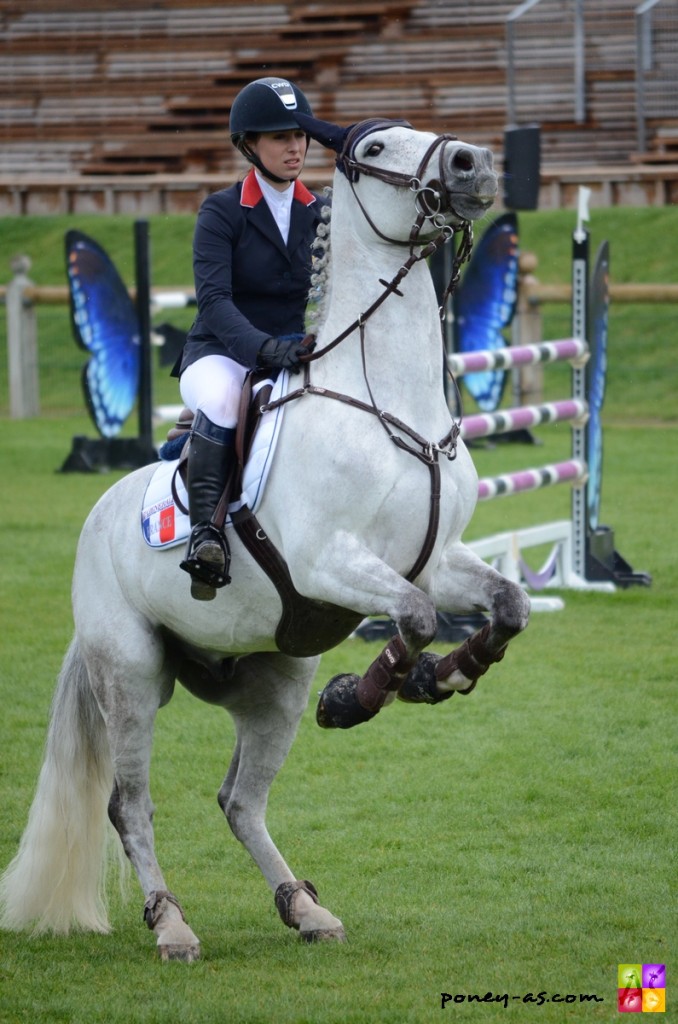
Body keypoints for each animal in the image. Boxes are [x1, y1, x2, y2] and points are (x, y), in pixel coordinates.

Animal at [0, 119, 532, 958]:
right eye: (374, 148)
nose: (472, 163)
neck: (388, 401)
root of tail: (97, 518)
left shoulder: (436, 562)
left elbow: (508, 605)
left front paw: (442, 677)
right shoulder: (328, 562)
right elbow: (414, 617)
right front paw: (357, 697)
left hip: (274, 681)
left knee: (240, 801)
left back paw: (304, 908)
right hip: (131, 674)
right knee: (130, 806)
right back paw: (172, 925)